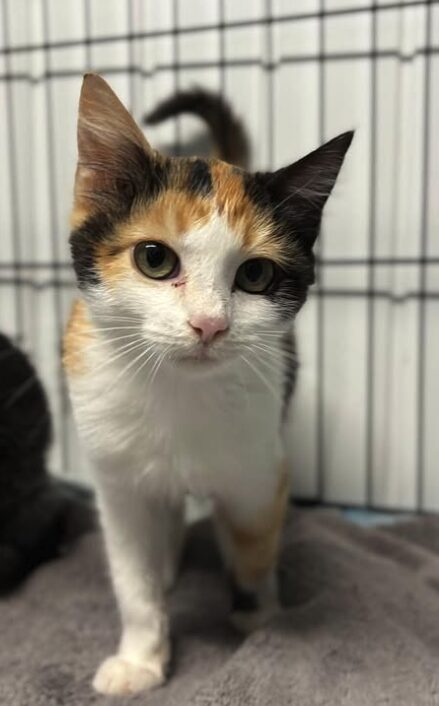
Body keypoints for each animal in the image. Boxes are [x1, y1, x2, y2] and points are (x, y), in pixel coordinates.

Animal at [62, 75, 354, 692]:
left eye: (256, 274)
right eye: (153, 258)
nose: (209, 324)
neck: (179, 395)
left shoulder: (259, 468)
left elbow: (253, 544)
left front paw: (260, 621)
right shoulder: (116, 482)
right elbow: (131, 574)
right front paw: (141, 657)